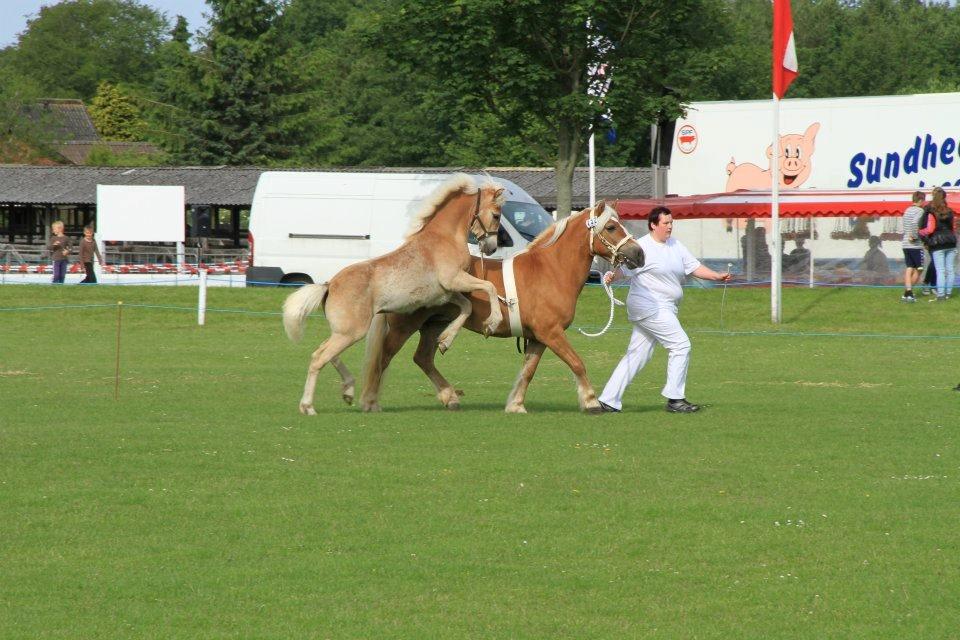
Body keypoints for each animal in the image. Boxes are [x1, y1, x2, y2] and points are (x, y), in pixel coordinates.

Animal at [282, 175, 506, 416]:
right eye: (496, 215)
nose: (491, 248)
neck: (444, 238)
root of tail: (329, 285)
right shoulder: (454, 280)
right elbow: (489, 287)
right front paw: (492, 323)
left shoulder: (445, 294)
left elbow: (467, 307)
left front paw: (445, 341)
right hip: (352, 332)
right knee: (319, 357)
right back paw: (309, 406)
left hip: (343, 332)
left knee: (328, 353)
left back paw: (348, 392)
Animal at [360, 200, 644, 416]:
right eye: (611, 227)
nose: (639, 254)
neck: (551, 270)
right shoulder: (551, 333)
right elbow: (577, 363)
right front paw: (591, 401)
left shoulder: (538, 337)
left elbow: (528, 371)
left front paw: (516, 404)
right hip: (404, 326)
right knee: (383, 359)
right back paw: (371, 402)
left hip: (434, 325)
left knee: (422, 358)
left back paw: (449, 397)